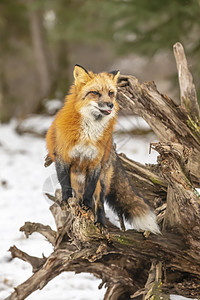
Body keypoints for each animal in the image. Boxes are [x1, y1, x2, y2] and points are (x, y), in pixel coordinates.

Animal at [46, 65, 160, 234]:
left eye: (111, 93)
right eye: (95, 93)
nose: (110, 105)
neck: (88, 133)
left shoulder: (95, 163)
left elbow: (90, 194)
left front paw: (87, 207)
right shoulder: (63, 158)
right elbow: (64, 184)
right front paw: (66, 200)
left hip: (102, 181)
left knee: (99, 202)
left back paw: (100, 222)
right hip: (77, 180)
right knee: (79, 195)